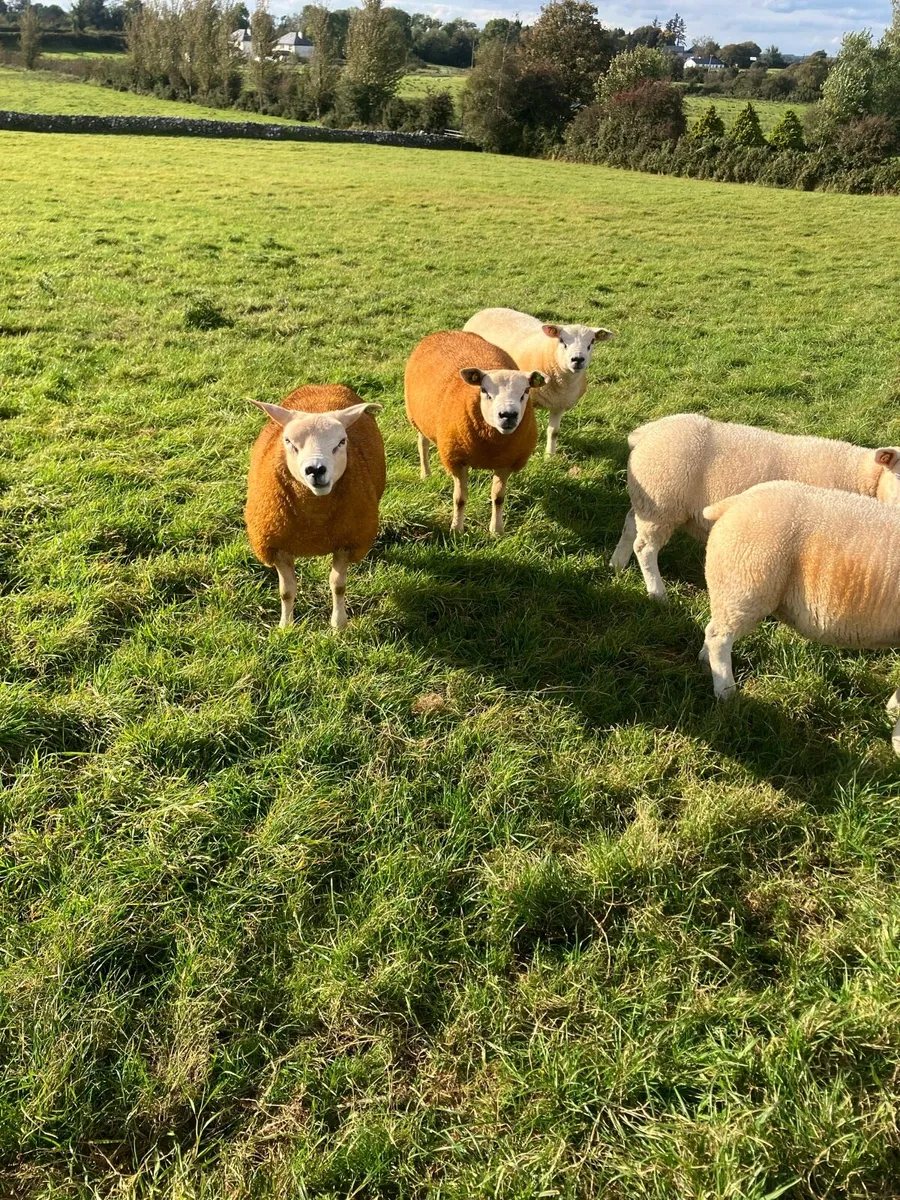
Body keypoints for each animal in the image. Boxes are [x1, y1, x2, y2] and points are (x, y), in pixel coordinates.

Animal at [245, 384, 385, 631]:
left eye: (341, 442)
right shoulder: (276, 545)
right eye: (289, 441)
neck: (314, 520)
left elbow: (338, 585)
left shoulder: (347, 541)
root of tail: (322, 385)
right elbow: (286, 591)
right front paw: (286, 626)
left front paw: (339, 625)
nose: (316, 470)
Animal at [405, 331, 544, 534]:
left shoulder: (507, 461)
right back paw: (426, 474)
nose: (508, 415)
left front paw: (497, 531)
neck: (491, 443)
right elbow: (459, 499)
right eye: (484, 390)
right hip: (418, 418)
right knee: (422, 444)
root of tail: (446, 332)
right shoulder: (456, 458)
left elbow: (498, 498)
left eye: (526, 391)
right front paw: (456, 529)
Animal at [463, 307, 614, 457]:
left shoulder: (559, 404)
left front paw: (550, 456)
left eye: (592, 342)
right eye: (562, 340)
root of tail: (487, 309)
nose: (578, 359)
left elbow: (554, 432)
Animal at [610, 412, 900, 603]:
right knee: (645, 548)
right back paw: (657, 593)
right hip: (662, 503)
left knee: (629, 523)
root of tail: (646, 433)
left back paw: (616, 563)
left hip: (647, 501)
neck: (861, 477)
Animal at [700, 480, 900, 753]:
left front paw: (892, 714)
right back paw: (726, 691)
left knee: (712, 627)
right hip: (746, 581)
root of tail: (736, 501)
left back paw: (704, 660)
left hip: (733, 583)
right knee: (719, 637)